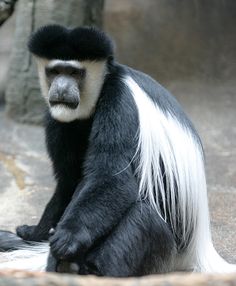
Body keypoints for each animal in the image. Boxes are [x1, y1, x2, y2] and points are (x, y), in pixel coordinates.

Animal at [0, 25, 236, 278]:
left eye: (74, 73)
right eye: (55, 72)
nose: (61, 89)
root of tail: (198, 250)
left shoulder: (120, 103)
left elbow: (112, 177)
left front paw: (67, 238)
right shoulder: (59, 120)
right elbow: (68, 182)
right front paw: (34, 233)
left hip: (166, 250)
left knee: (145, 218)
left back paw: (89, 269)